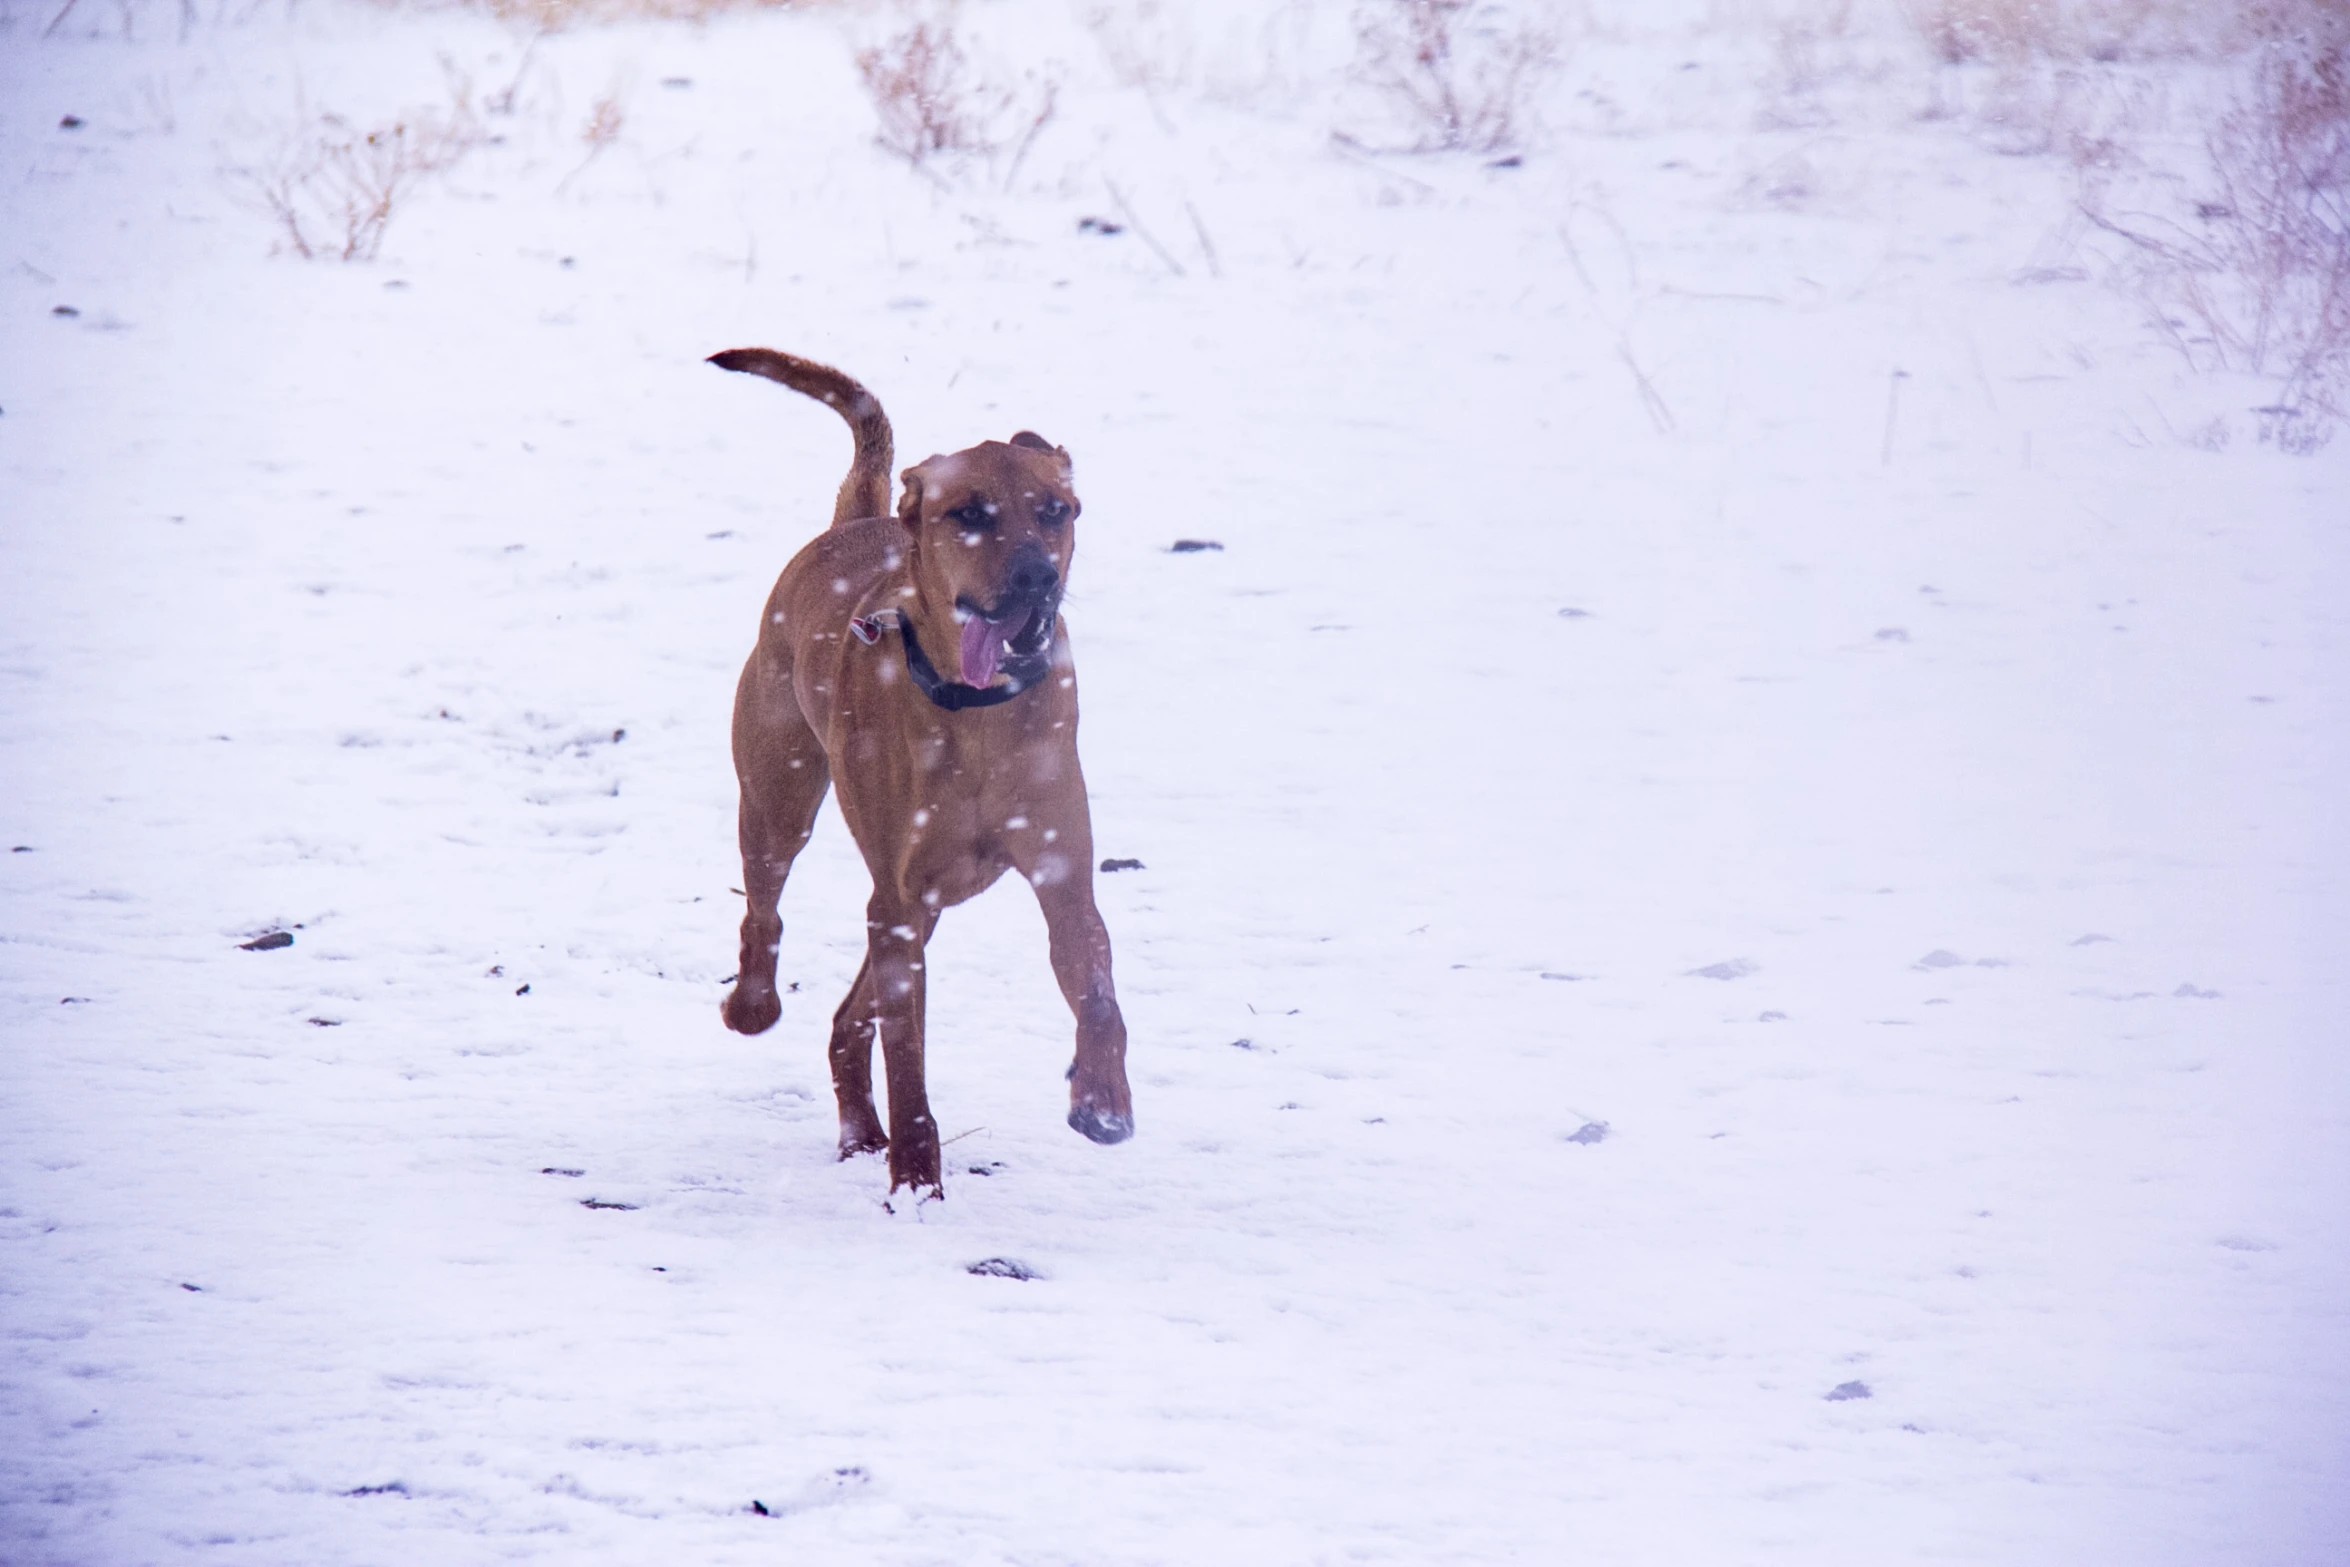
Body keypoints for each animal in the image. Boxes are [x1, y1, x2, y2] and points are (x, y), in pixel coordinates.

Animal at [700, 350, 1132, 1193]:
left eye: (1057, 510)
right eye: (967, 512)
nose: (1036, 577)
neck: (980, 713)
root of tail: (854, 520)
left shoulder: (1061, 872)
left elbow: (1098, 990)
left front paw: (1103, 1100)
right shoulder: (898, 900)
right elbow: (908, 1058)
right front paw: (917, 1183)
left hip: (923, 899)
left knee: (846, 1017)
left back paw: (860, 1130)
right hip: (779, 796)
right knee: (764, 908)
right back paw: (754, 1006)